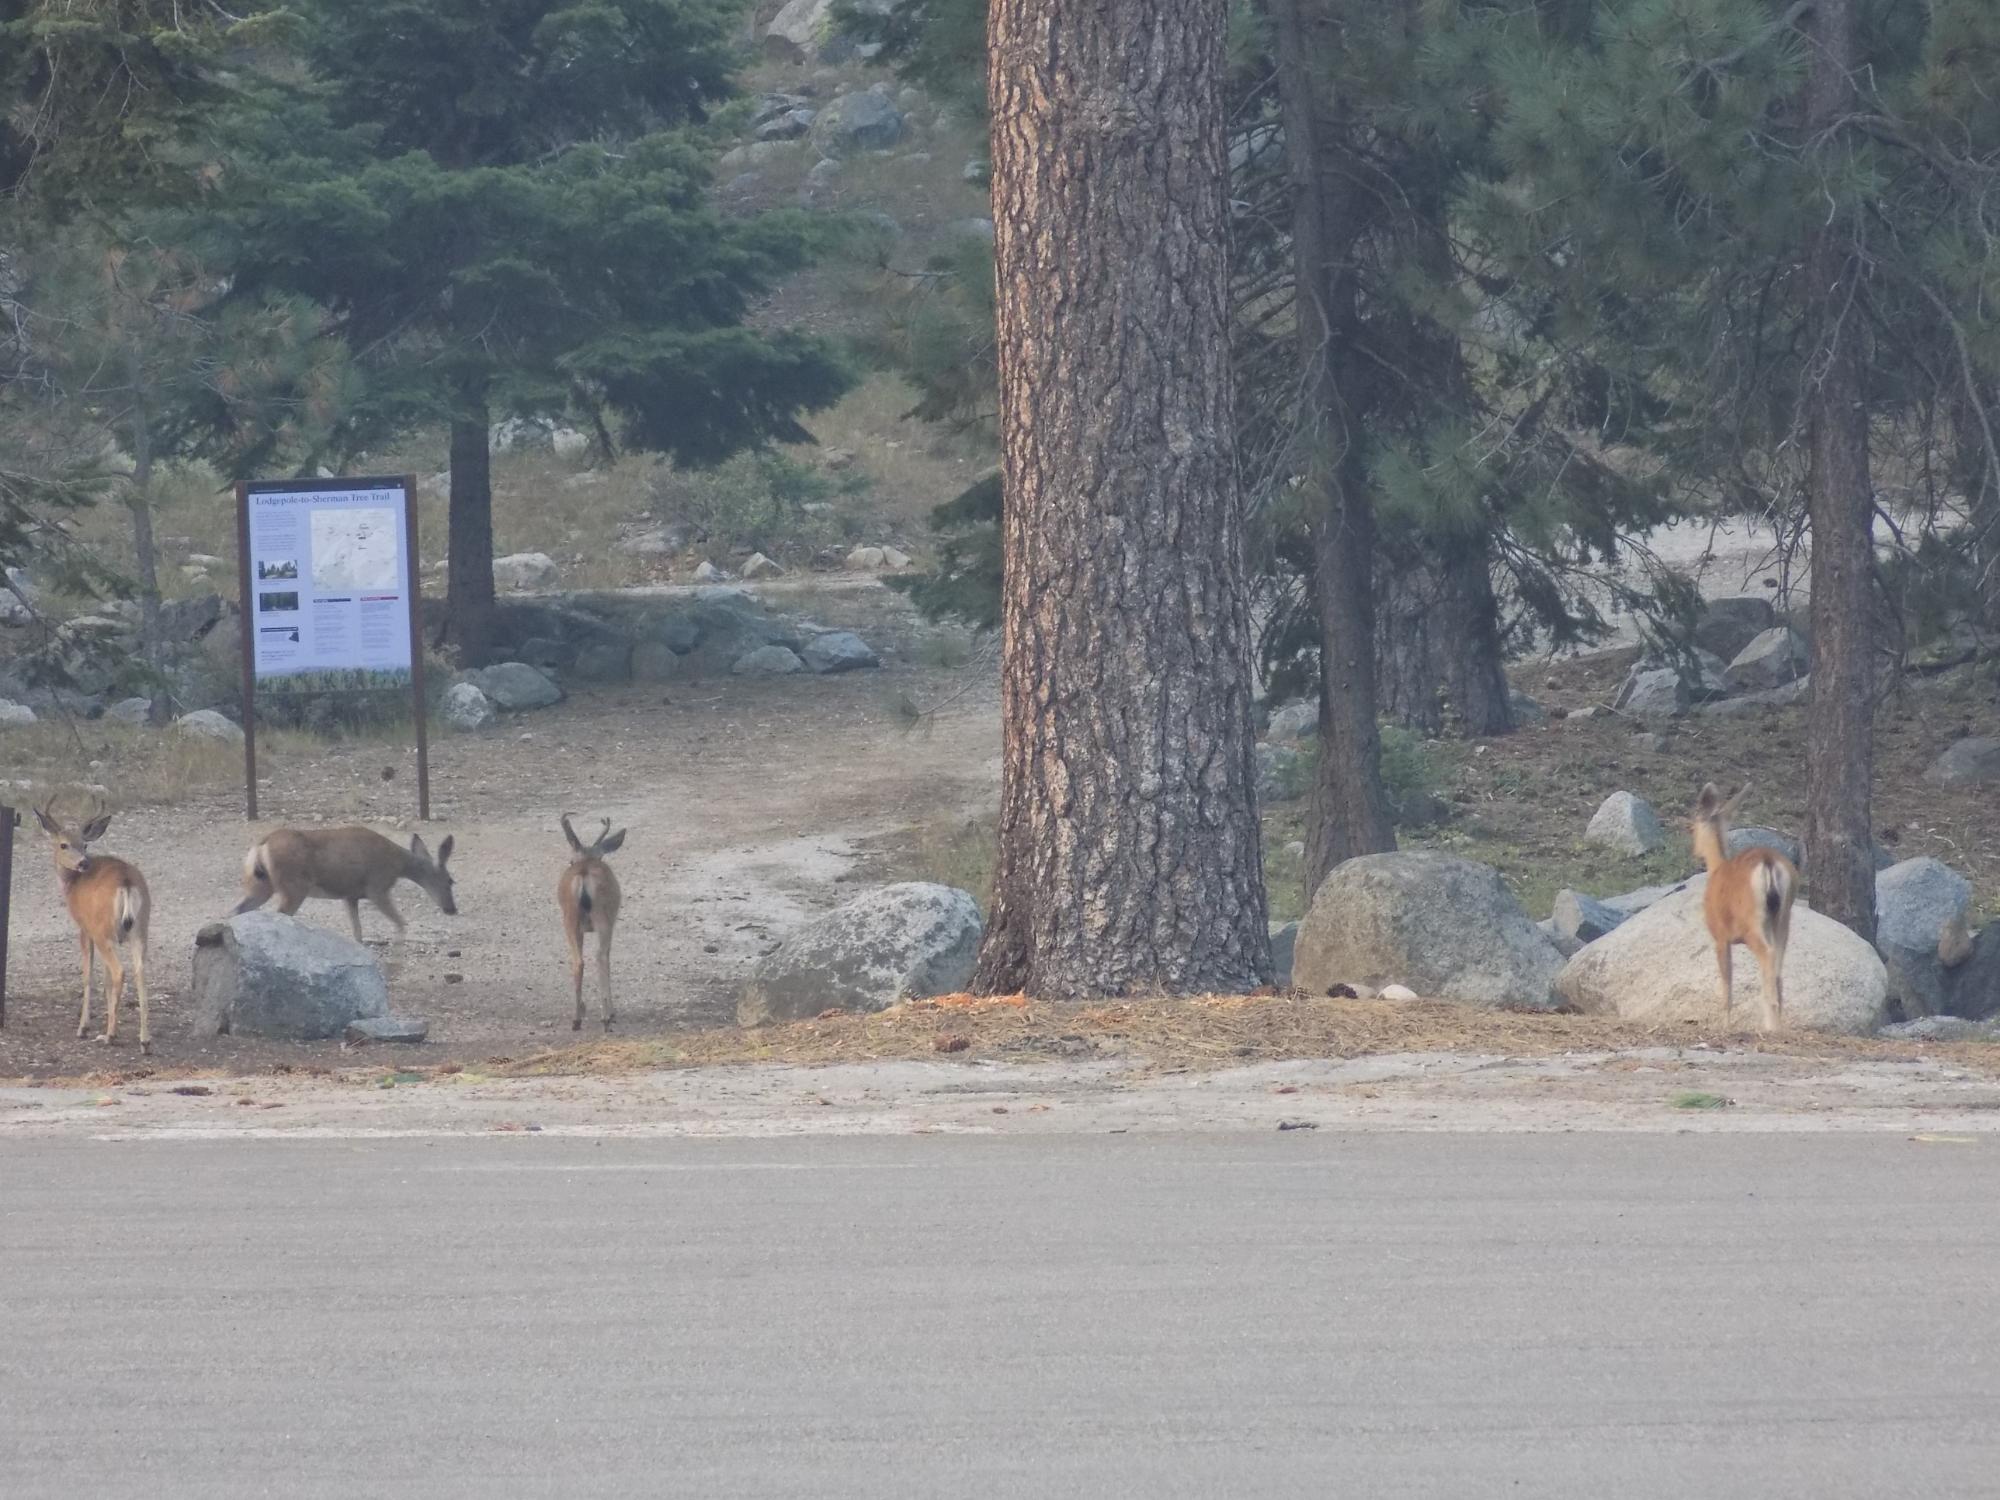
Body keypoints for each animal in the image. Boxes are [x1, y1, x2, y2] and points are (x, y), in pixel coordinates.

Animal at [34, 800, 152, 1056]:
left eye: (84, 844)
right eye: (64, 844)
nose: (83, 862)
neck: (71, 885)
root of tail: (126, 882)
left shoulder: (84, 927)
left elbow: (88, 976)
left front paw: (84, 1028)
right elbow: (106, 981)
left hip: (103, 931)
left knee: (119, 971)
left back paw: (110, 1036)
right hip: (140, 928)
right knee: (139, 971)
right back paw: (144, 1041)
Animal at [234, 828, 458, 944]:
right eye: (450, 880)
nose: (452, 909)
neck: (398, 864)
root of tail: (261, 845)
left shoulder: (350, 895)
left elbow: (357, 932)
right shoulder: (377, 887)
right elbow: (401, 923)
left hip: (261, 884)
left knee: (238, 910)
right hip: (294, 887)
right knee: (278, 914)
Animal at [556, 816, 624, 1040]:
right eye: (570, 860)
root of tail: (584, 875)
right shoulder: (610, 922)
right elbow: (608, 957)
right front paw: (612, 1011)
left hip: (570, 919)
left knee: (578, 962)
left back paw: (577, 1019)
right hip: (602, 918)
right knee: (600, 956)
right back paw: (606, 1017)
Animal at [1688, 788, 1800, 1032]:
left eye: (1692, 826)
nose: (1694, 850)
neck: (1716, 867)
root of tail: (1768, 861)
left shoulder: (1720, 936)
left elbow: (1727, 983)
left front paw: (1725, 1025)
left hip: (1752, 921)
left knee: (1767, 955)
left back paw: (1771, 1022)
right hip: (1783, 917)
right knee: (1778, 967)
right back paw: (1775, 1023)